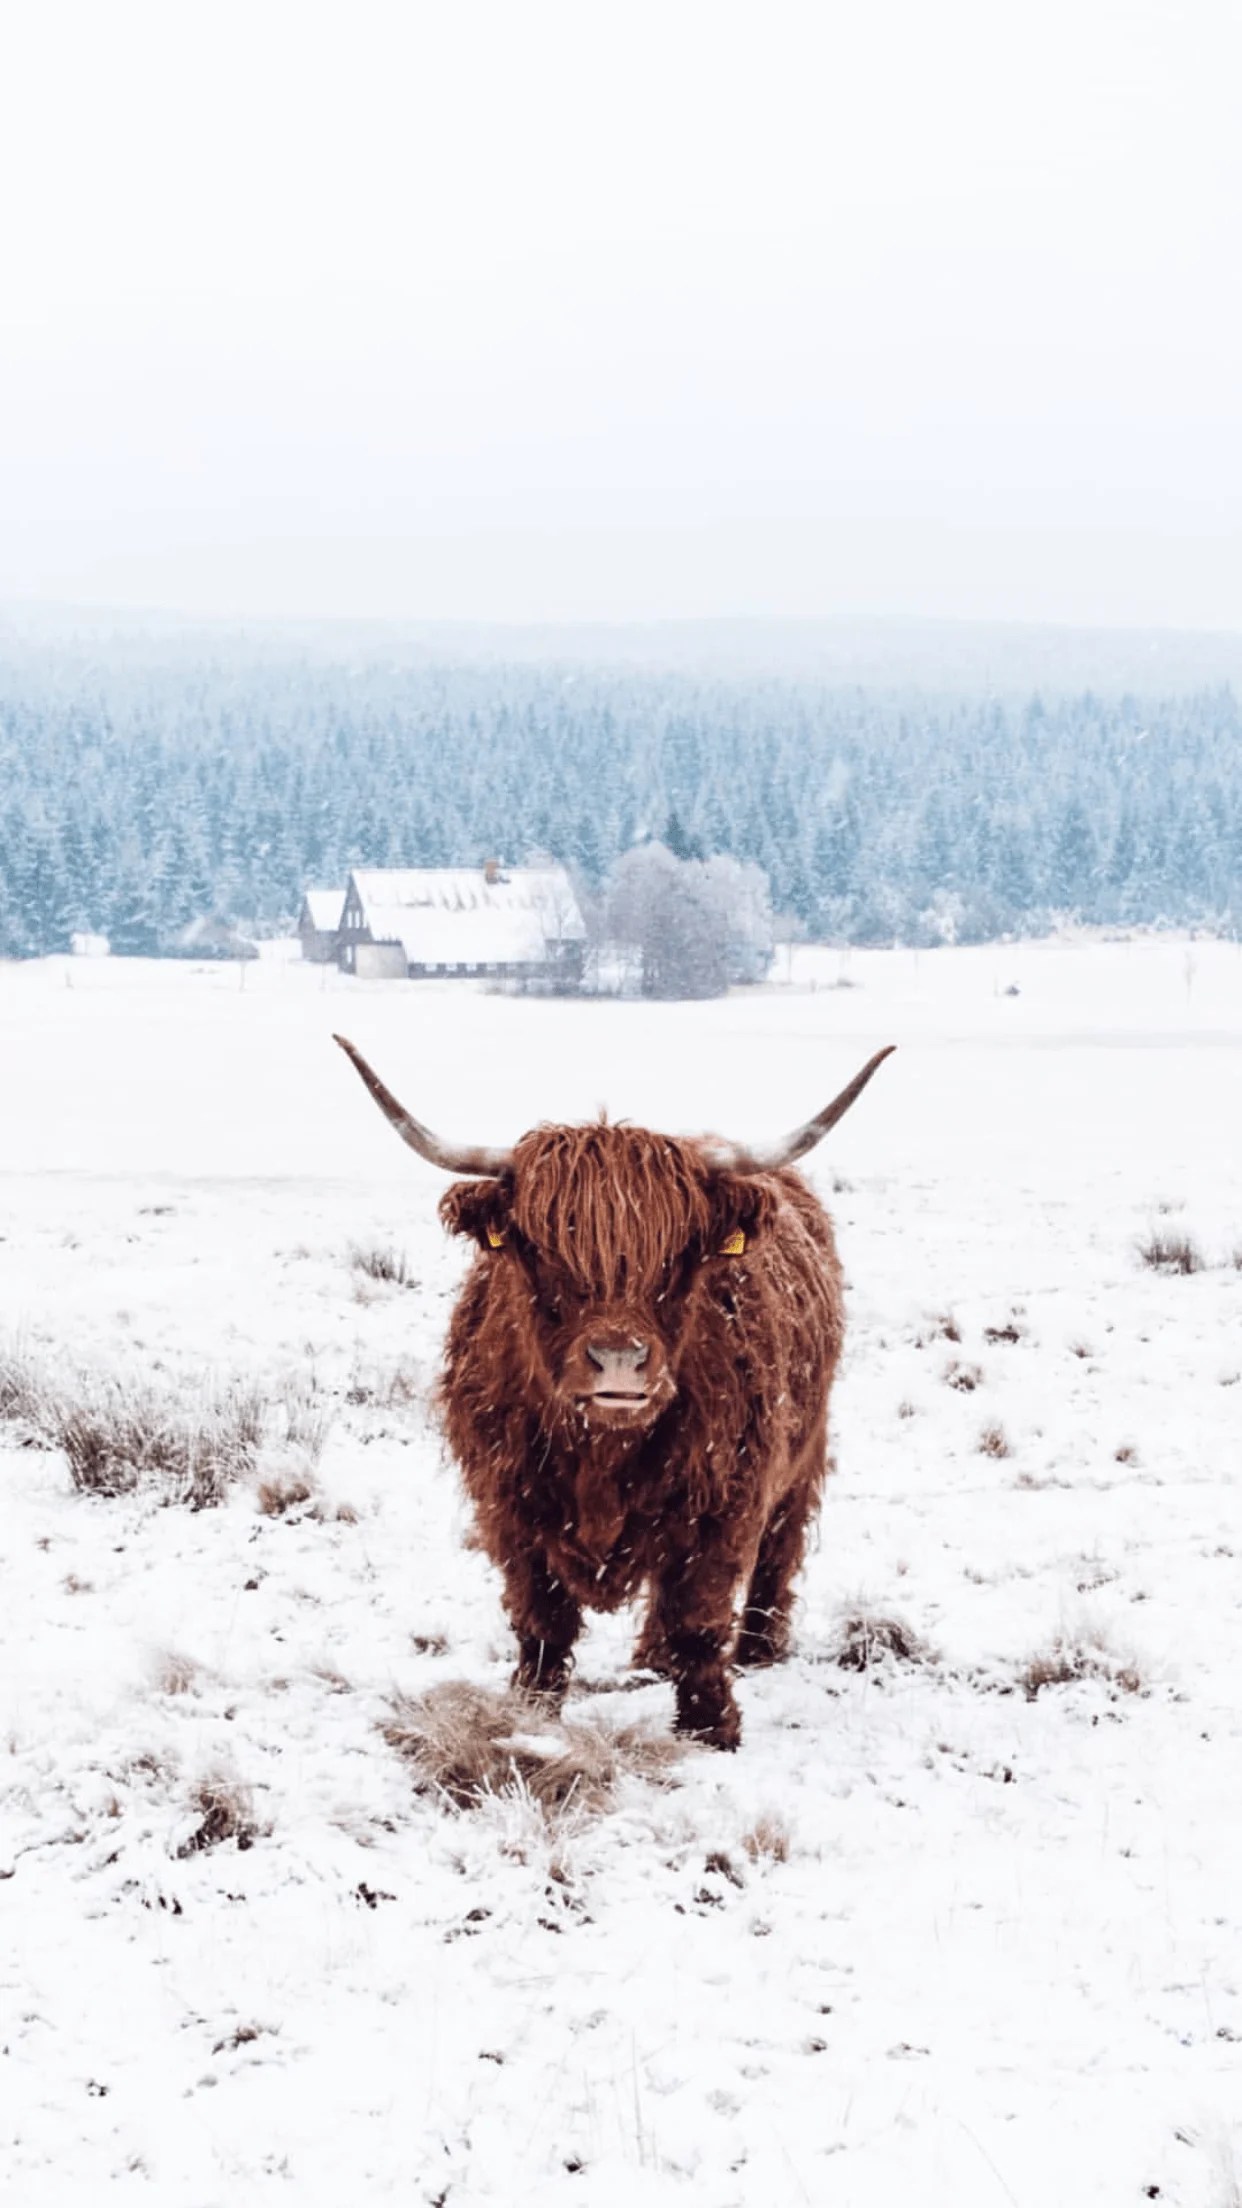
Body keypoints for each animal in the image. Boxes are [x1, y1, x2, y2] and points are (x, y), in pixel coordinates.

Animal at [334, 1035, 894, 1749]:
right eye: (544, 1252)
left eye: (681, 1258)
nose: (621, 1362)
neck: (601, 1453)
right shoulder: (508, 1503)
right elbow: (542, 1621)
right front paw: (530, 1714)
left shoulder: (725, 1498)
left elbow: (699, 1616)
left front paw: (711, 1727)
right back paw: (651, 1658)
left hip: (805, 1447)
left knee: (779, 1547)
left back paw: (758, 1647)